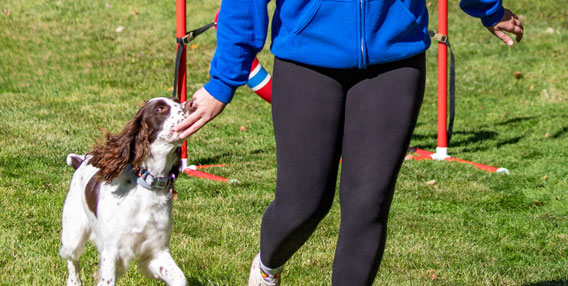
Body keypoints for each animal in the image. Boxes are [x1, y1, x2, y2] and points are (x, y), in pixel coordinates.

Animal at [59, 97, 193, 284]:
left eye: (176, 100)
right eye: (160, 108)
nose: (193, 104)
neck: (148, 185)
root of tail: (80, 163)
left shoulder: (155, 252)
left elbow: (179, 277)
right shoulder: (112, 251)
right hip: (73, 236)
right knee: (72, 260)